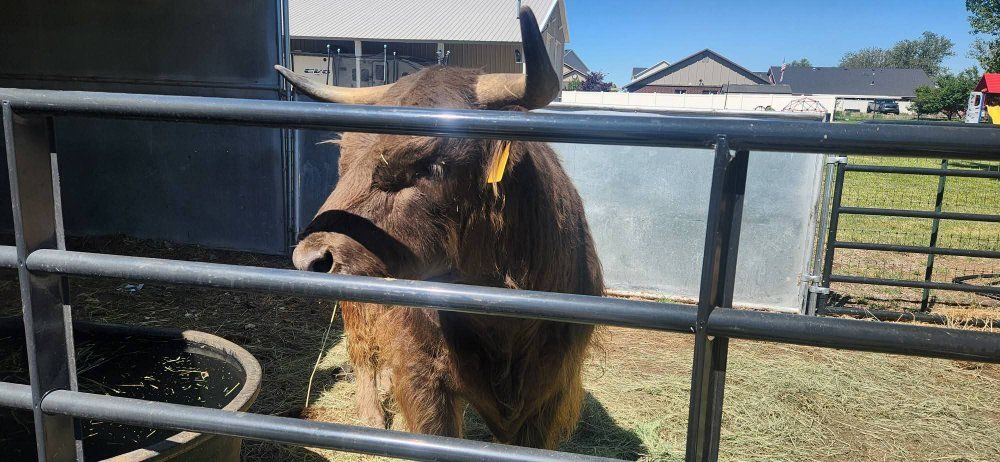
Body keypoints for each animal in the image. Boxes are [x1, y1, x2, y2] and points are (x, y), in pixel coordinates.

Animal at [280, 7, 604, 449]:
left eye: (433, 165)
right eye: (344, 161)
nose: (309, 258)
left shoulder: (548, 393)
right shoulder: (424, 379)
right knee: (362, 351)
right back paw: (370, 413)